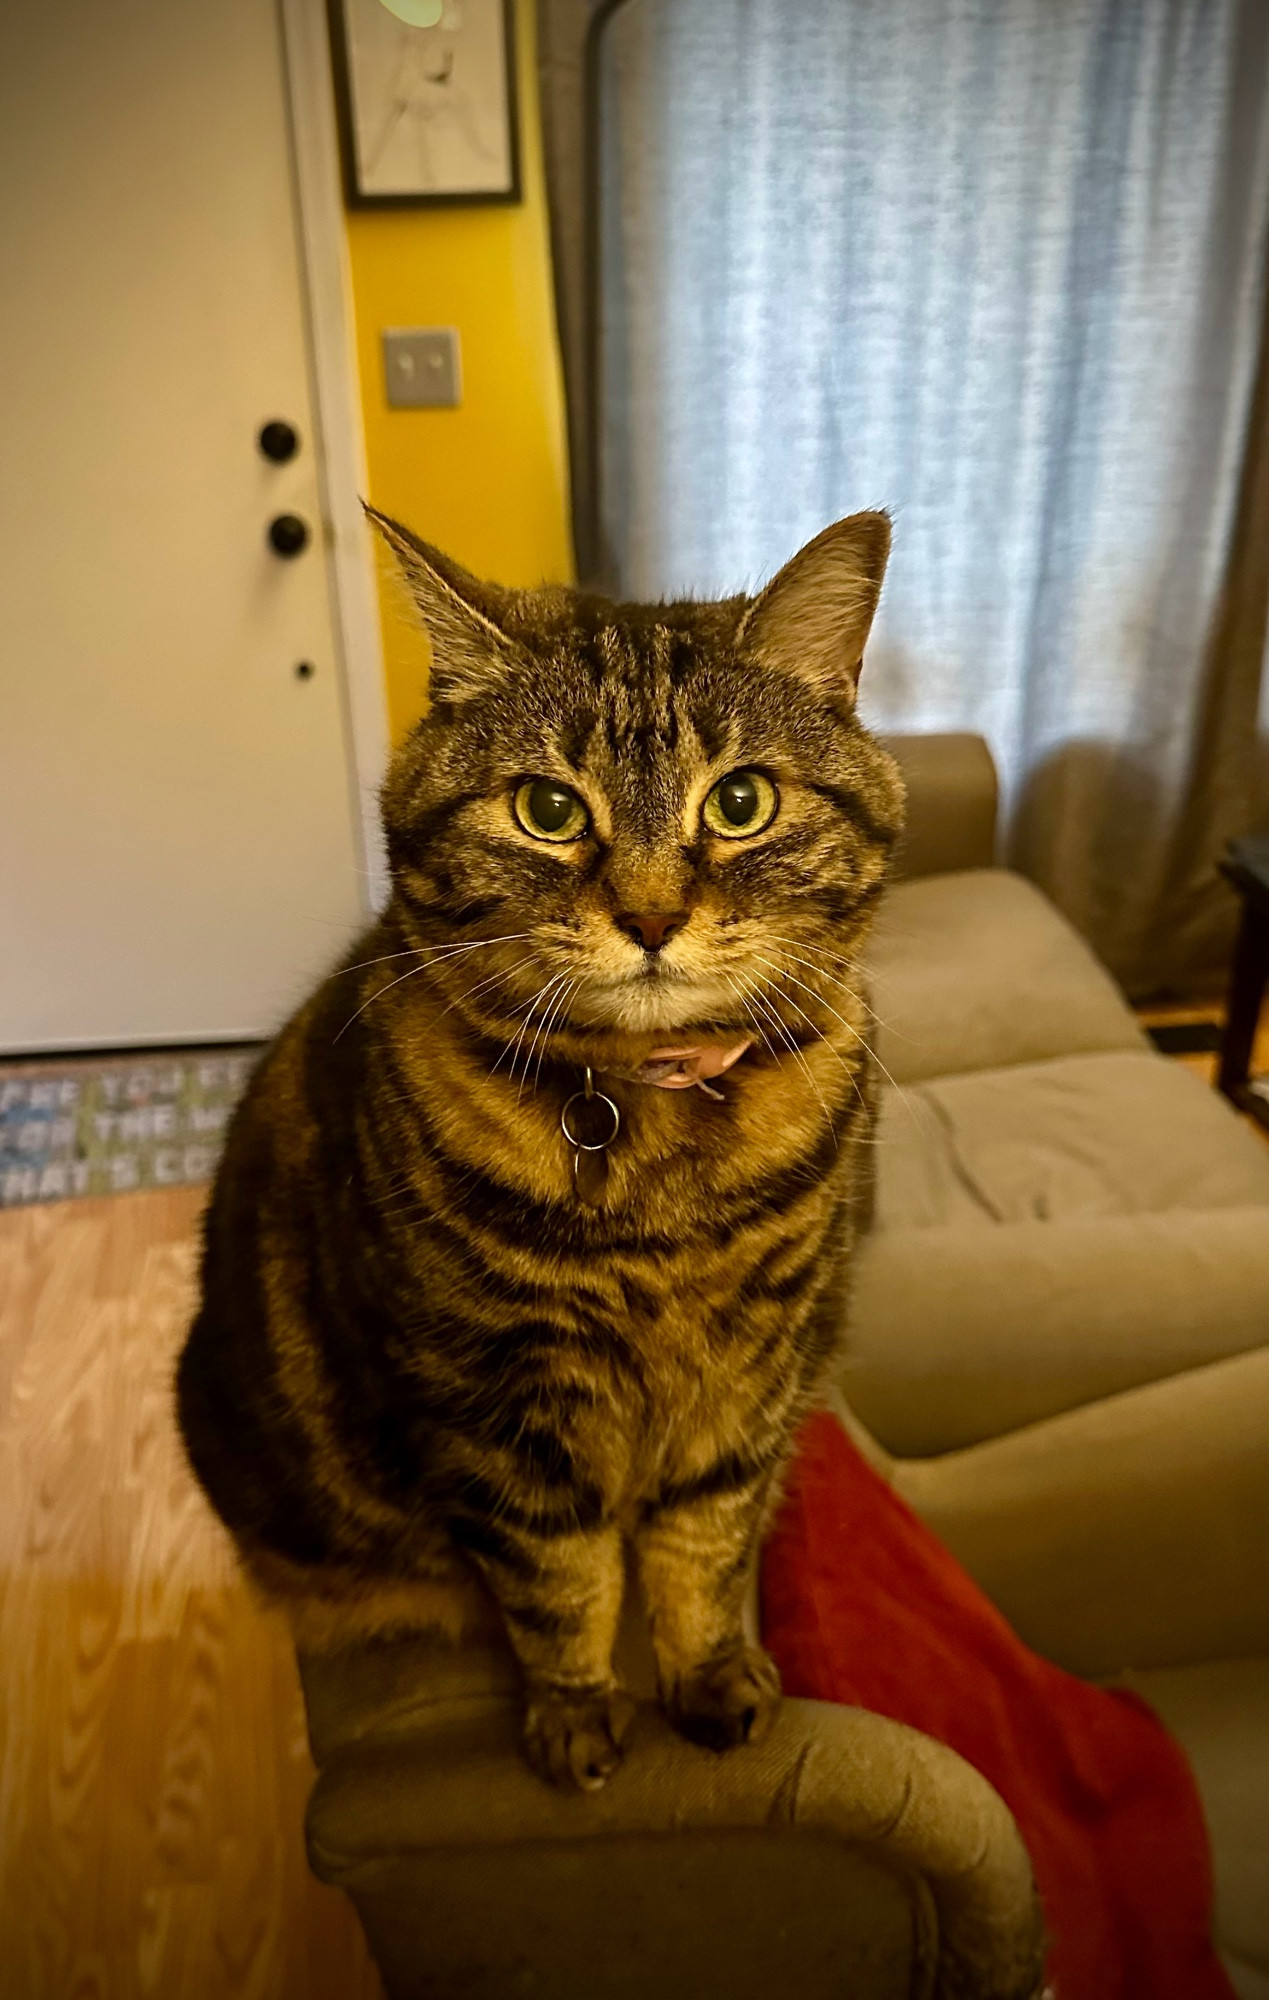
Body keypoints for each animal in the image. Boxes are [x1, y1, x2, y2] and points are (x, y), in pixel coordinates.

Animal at [178, 508, 904, 1792]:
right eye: (549, 811)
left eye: (741, 800)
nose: (653, 916)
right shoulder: (494, 1406)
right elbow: (561, 1579)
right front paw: (575, 1717)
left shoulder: (754, 1377)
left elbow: (706, 1540)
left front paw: (712, 1678)